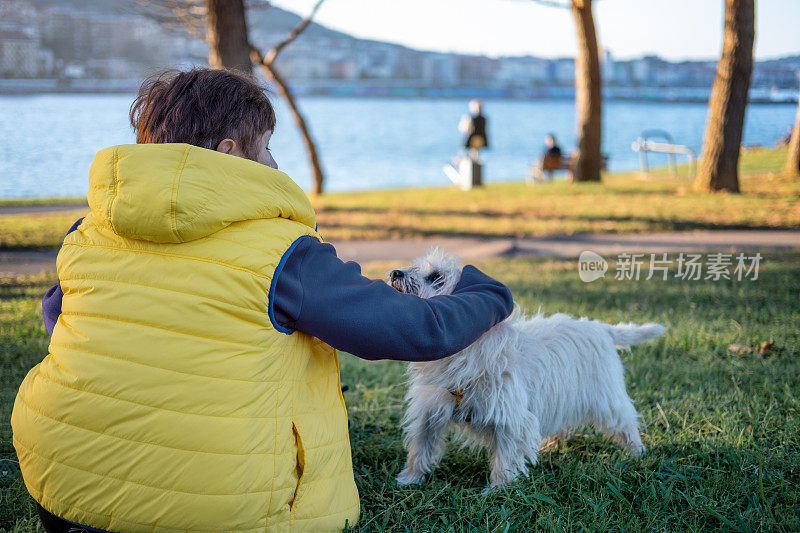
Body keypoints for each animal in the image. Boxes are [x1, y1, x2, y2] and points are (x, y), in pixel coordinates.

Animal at [390, 249, 664, 490]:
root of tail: (602, 328)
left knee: (625, 422)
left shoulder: (510, 419)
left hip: (606, 397)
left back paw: (636, 453)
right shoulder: (431, 411)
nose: (395, 272)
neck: (464, 356)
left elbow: (505, 457)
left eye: (436, 276)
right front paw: (409, 480)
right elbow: (421, 447)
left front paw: (498, 490)